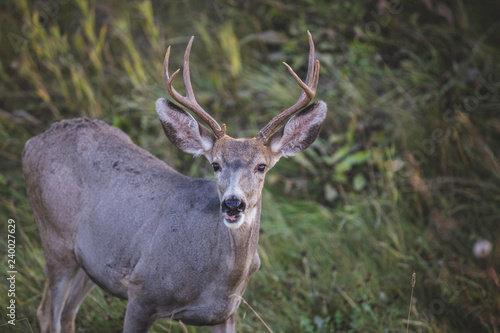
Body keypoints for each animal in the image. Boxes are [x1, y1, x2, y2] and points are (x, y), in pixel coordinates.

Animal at [23, 31, 326, 332]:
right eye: (215, 164)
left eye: (261, 166)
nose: (233, 204)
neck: (217, 281)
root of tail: (33, 142)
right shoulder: (141, 292)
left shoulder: (227, 313)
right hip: (55, 238)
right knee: (47, 313)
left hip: (91, 261)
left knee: (67, 313)